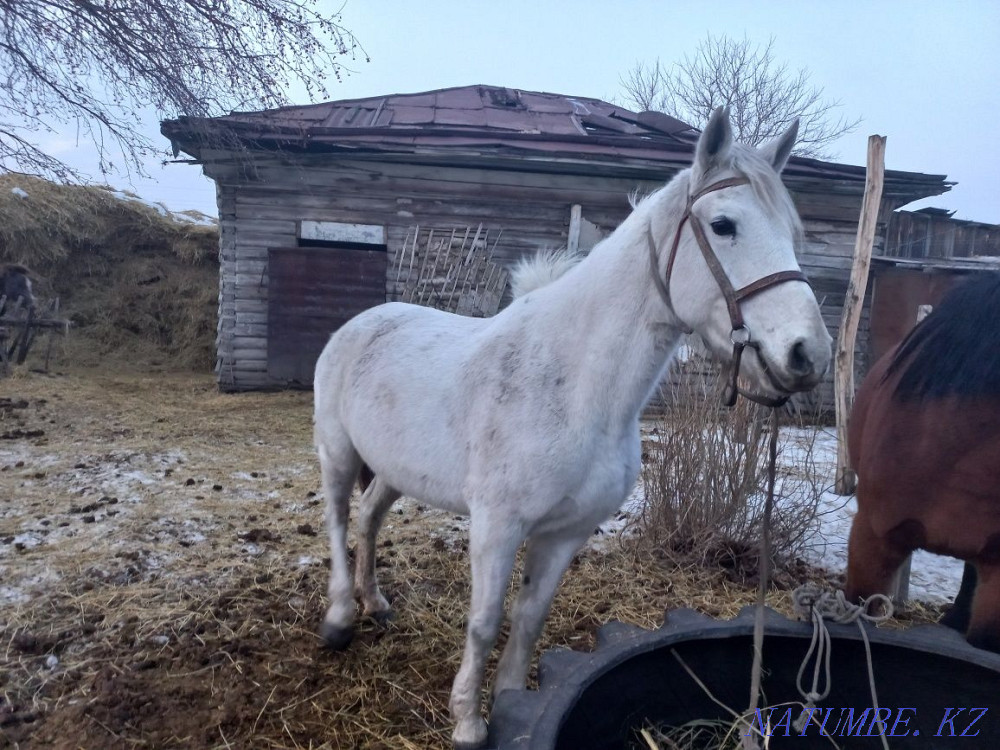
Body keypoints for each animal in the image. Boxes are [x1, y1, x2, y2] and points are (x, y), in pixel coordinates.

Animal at [313, 107, 832, 749]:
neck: (575, 388)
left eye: (792, 232)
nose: (808, 354)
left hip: (393, 470)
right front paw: (468, 722)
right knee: (338, 520)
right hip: (337, 454)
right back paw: (340, 618)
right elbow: (484, 621)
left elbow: (529, 618)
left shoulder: (567, 533)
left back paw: (376, 602)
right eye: (723, 224)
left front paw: (513, 706)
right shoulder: (497, 526)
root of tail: (364, 322)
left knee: (368, 519)